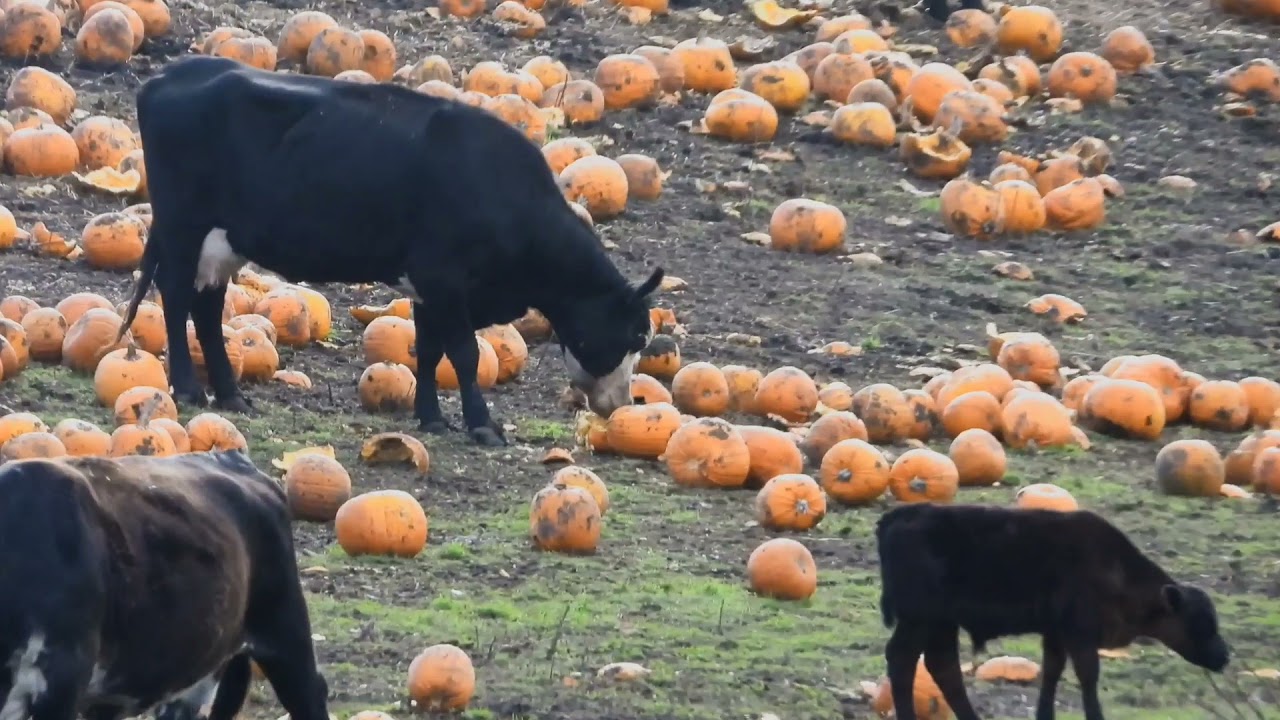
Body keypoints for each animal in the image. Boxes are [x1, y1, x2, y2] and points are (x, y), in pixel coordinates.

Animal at [117, 54, 663, 447]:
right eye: (635, 333)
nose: (621, 403)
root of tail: (170, 73)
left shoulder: (426, 287)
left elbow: (429, 350)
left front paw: (432, 418)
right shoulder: (443, 276)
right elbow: (463, 354)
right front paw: (482, 425)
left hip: (220, 241)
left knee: (207, 308)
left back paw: (231, 397)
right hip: (184, 226)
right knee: (175, 297)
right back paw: (189, 388)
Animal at [874, 502, 1230, 720]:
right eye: (1200, 622)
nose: (1224, 656)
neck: (1115, 568)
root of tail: (904, 514)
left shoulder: (1056, 634)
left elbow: (1052, 672)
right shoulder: (1079, 633)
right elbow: (1088, 675)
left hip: (941, 623)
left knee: (942, 666)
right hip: (921, 620)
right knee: (904, 659)